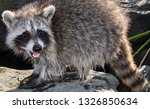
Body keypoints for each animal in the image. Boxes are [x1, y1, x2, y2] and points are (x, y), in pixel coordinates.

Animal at [1, 0, 149, 91]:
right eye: (25, 34)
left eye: (40, 32)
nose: (37, 48)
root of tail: (121, 29)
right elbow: (41, 60)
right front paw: (37, 70)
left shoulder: (58, 44)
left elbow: (54, 64)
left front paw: (41, 77)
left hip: (98, 35)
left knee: (84, 53)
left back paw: (82, 72)